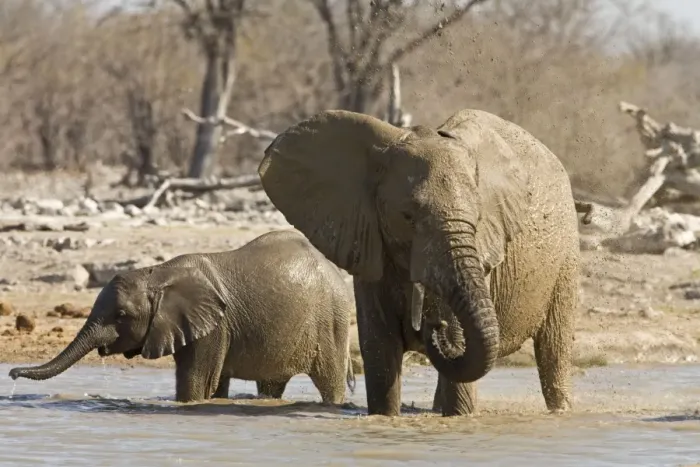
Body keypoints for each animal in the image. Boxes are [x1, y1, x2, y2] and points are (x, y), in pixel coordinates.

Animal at [9, 230, 356, 404]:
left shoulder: (214, 327)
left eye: (121, 315)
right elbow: (214, 385)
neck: (158, 274)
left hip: (332, 322)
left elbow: (197, 384)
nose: (11, 374)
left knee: (330, 381)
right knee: (271, 385)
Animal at [257, 108, 580, 417]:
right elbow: (380, 350)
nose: (434, 325)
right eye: (408, 217)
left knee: (554, 347)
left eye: (477, 219)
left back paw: (561, 410)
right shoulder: (369, 240)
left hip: (566, 252)